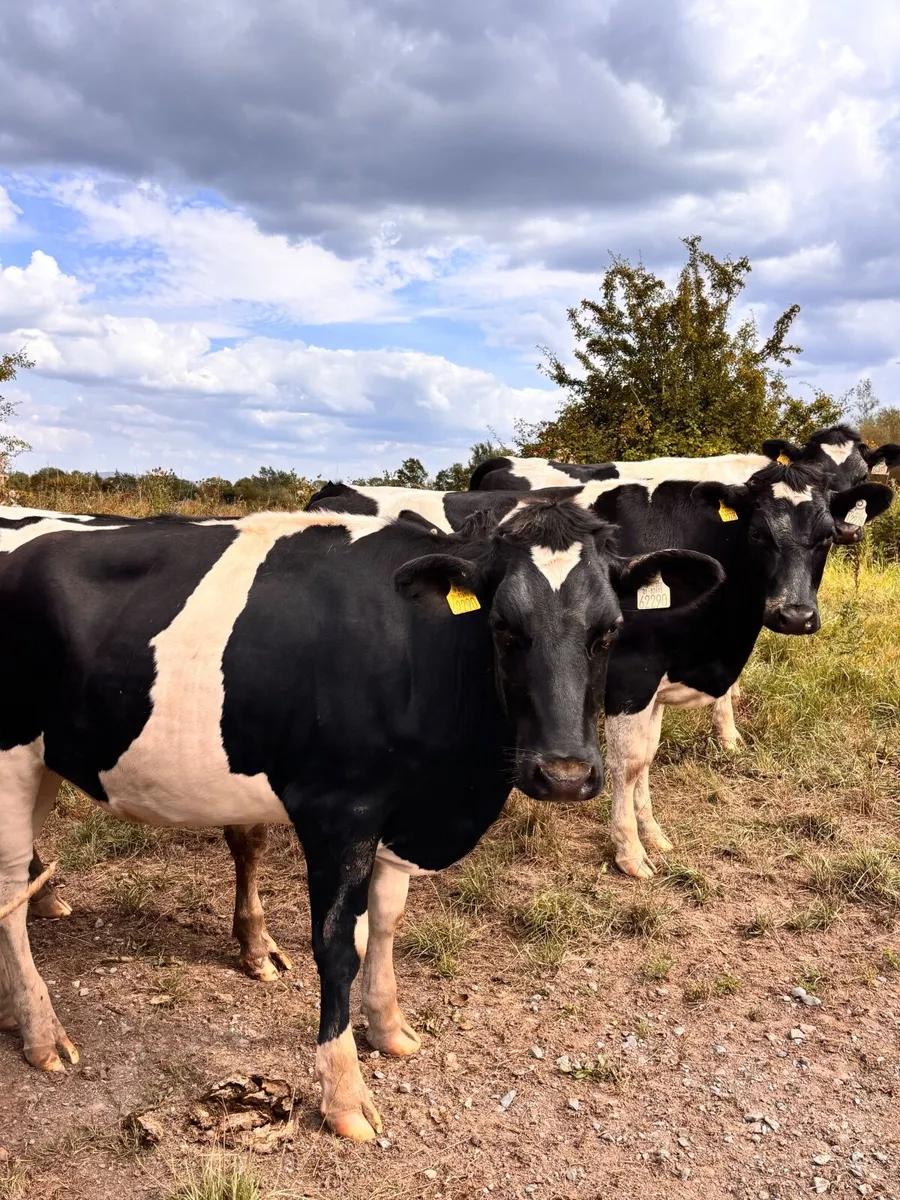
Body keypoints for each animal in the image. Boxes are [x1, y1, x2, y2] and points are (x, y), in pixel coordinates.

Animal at [0, 502, 722, 1138]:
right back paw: (41, 1031)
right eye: (503, 627)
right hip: (9, 760)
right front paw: (345, 1094)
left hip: (44, 760)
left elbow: (386, 923)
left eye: (609, 630)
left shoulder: (400, 814)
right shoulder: (337, 811)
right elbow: (336, 946)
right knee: (9, 894)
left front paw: (389, 1025)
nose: (565, 774)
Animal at [310, 460, 893, 879]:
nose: (794, 615)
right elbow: (629, 763)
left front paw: (651, 832)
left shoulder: (652, 682)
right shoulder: (633, 676)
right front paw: (630, 852)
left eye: (826, 536)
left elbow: (645, 761)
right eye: (757, 535)